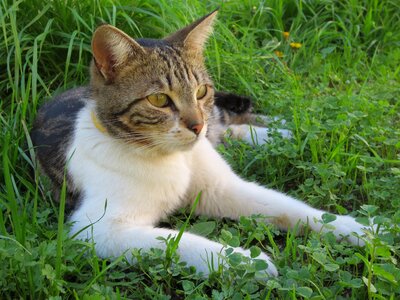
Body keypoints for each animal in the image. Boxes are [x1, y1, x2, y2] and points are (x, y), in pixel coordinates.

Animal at [32, 9, 368, 276]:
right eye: (159, 100)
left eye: (201, 91)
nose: (197, 125)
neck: (171, 159)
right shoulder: (96, 229)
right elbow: (176, 242)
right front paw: (243, 262)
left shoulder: (220, 186)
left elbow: (287, 205)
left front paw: (352, 228)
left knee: (232, 122)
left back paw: (286, 131)